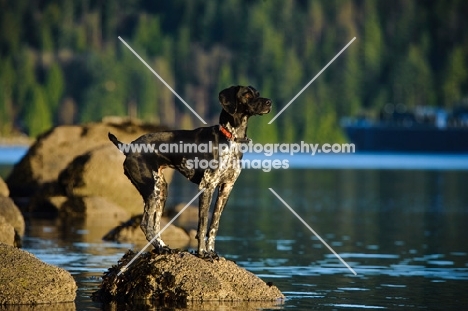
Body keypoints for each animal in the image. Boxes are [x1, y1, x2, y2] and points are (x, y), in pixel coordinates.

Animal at [109, 86, 270, 256]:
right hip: (152, 190)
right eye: (247, 94)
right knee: (146, 225)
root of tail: (128, 147)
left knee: (155, 224)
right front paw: (203, 253)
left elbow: (214, 225)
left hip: (161, 190)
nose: (269, 102)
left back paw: (164, 248)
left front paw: (211, 252)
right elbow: (203, 225)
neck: (231, 138)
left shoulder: (226, 188)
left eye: (257, 93)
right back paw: (162, 248)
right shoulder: (207, 187)